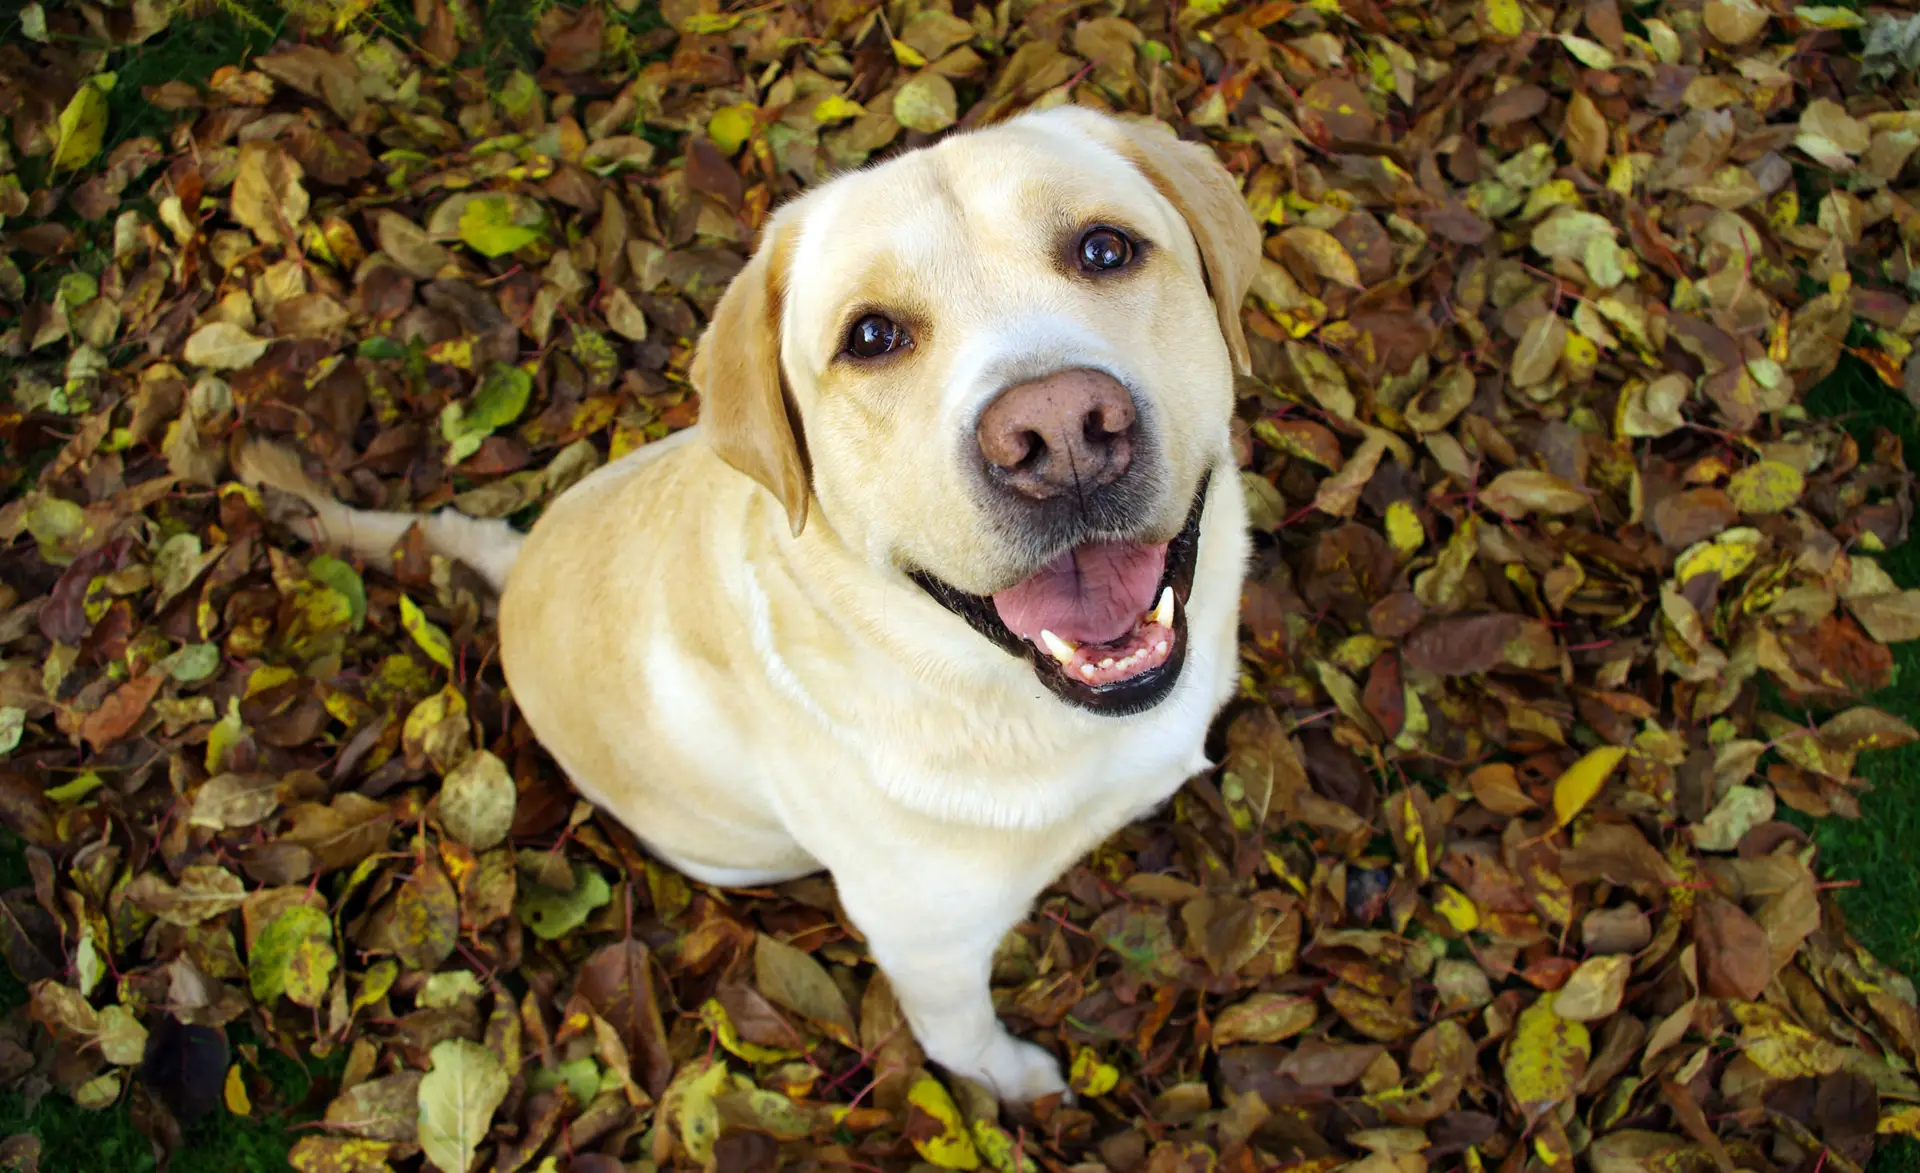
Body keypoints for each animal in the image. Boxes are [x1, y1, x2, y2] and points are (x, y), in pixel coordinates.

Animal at [236, 103, 1259, 1098]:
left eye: (1105, 248)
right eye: (872, 337)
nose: (1060, 432)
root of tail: (519, 555)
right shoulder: (931, 950)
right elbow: (965, 1043)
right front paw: (1018, 1087)